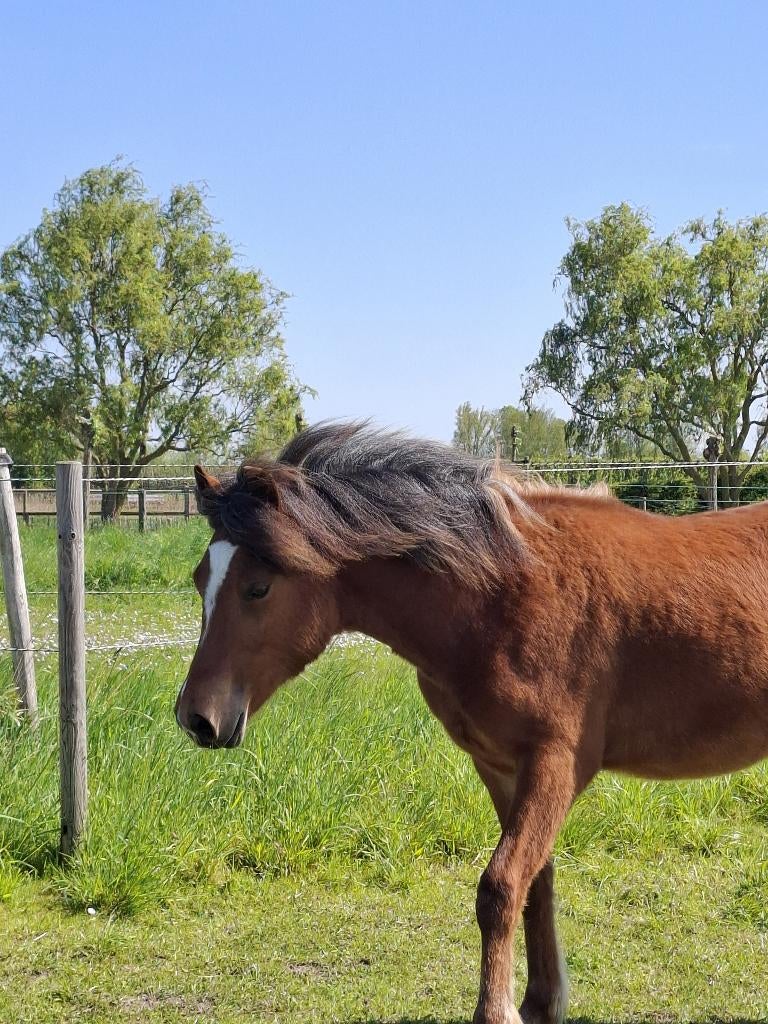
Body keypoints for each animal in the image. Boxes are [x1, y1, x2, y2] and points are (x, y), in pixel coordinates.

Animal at [175, 421, 768, 1024]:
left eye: (258, 587)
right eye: (202, 578)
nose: (196, 717)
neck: (505, 594)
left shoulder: (556, 764)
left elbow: (500, 889)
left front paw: (497, 1009)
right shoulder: (499, 765)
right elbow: (536, 884)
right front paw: (540, 1001)